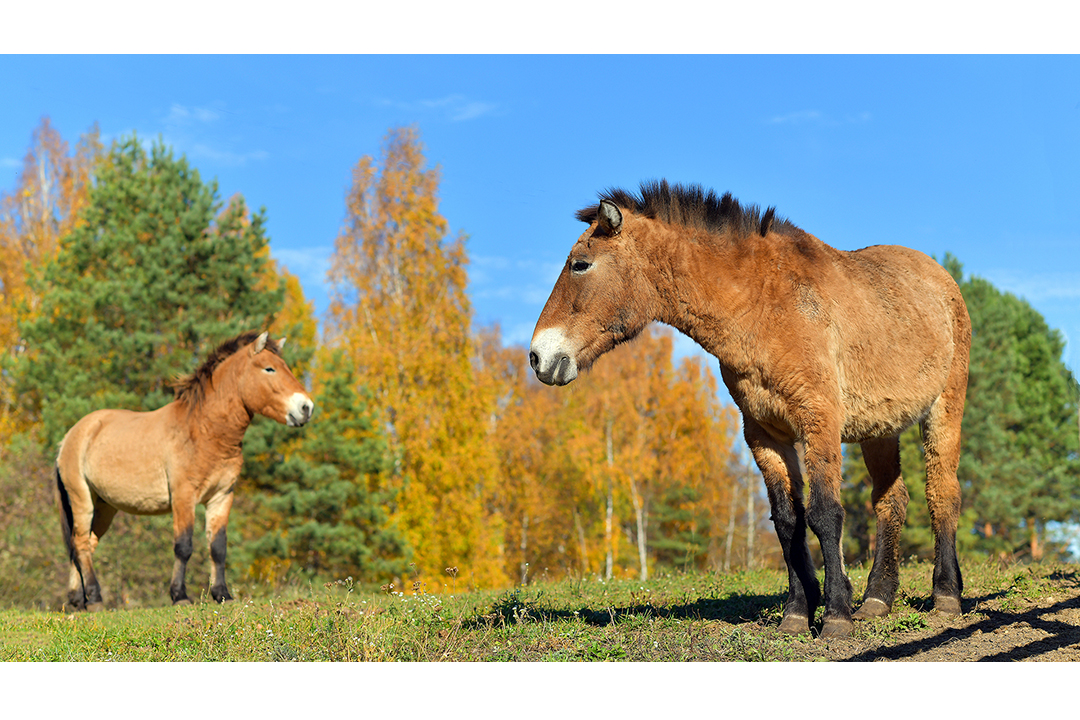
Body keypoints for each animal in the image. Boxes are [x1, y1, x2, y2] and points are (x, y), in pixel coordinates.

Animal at [55, 331, 314, 611]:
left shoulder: (221, 497)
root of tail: (71, 436)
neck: (204, 431)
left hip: (104, 507)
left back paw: (77, 599)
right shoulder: (183, 496)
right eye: (269, 368)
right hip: (82, 499)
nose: (307, 408)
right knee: (81, 543)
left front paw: (222, 594)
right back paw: (95, 598)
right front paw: (179, 595)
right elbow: (184, 546)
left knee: (85, 543)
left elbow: (218, 547)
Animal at [529, 181, 970, 638]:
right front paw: (798, 611)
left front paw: (835, 614)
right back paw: (877, 598)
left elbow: (825, 513)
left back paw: (945, 596)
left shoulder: (819, 421)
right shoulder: (763, 432)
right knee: (891, 500)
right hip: (879, 429)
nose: (538, 357)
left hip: (944, 411)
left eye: (580, 265)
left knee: (943, 493)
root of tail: (939, 277)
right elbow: (787, 519)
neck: (761, 306)